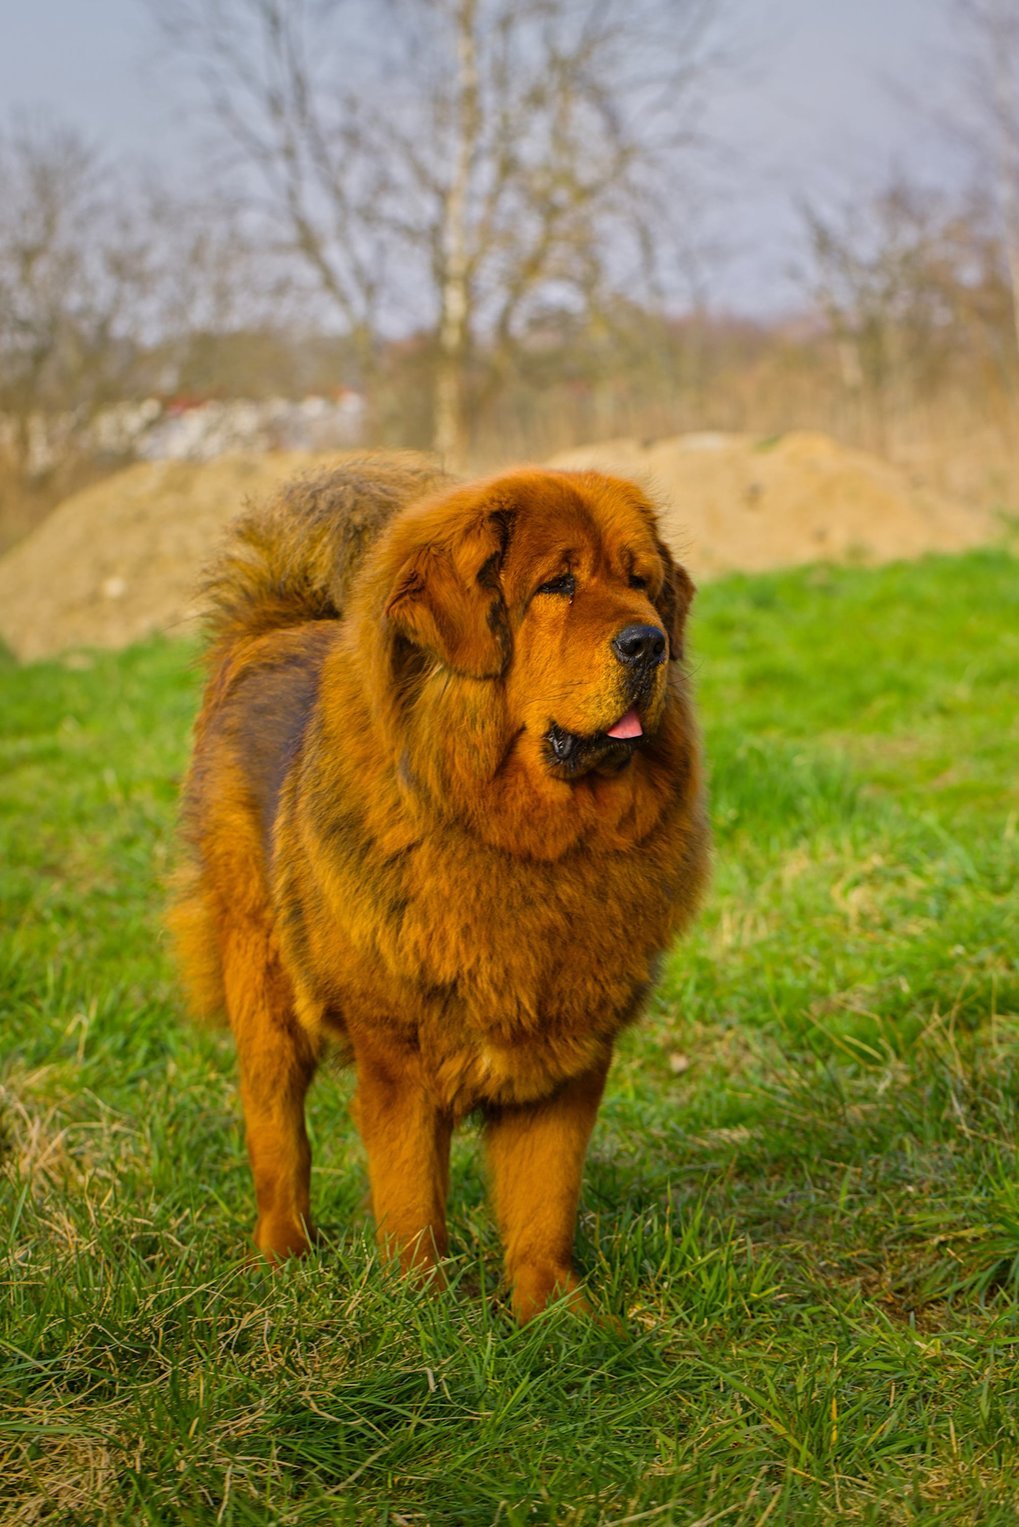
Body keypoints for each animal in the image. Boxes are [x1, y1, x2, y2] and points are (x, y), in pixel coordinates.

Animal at [171, 451, 708, 1325]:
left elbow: (542, 1197)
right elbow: (411, 1197)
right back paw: (282, 1255)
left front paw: (555, 1314)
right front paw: (420, 1313)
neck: (529, 844)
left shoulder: (565, 1052)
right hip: (262, 987)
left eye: (640, 582)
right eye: (558, 585)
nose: (649, 641)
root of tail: (275, 629)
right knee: (277, 1134)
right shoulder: (401, 1055)